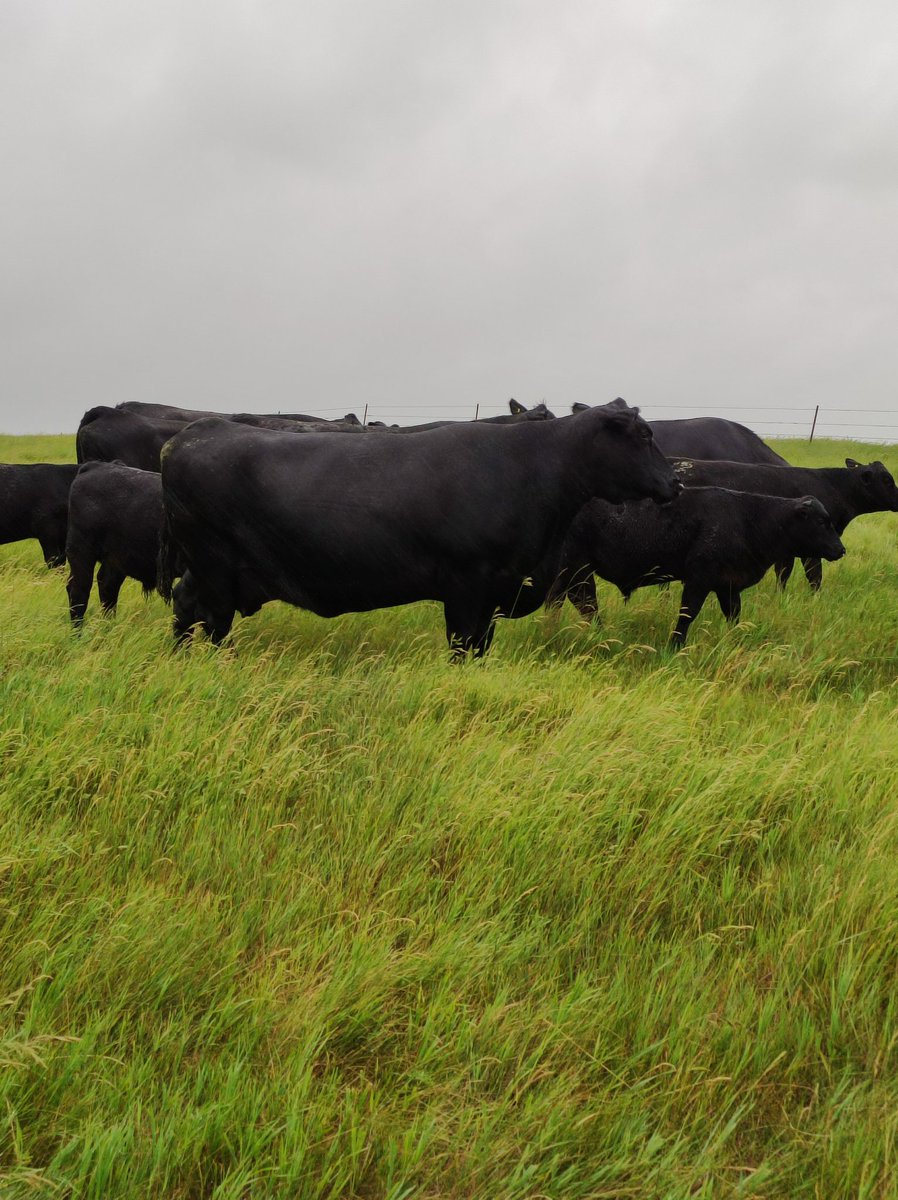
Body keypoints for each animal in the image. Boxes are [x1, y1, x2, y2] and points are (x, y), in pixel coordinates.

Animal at [157, 402, 679, 656]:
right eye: (644, 435)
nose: (675, 482)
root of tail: (191, 434)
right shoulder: (468, 583)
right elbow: (463, 645)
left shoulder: (494, 591)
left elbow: (481, 648)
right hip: (215, 564)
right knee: (213, 622)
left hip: (208, 568)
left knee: (186, 606)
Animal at [551, 488, 845, 647]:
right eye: (822, 521)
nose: (841, 550)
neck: (749, 519)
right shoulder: (698, 580)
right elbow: (687, 614)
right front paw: (675, 644)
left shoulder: (728, 585)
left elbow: (734, 615)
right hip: (575, 569)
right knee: (583, 603)